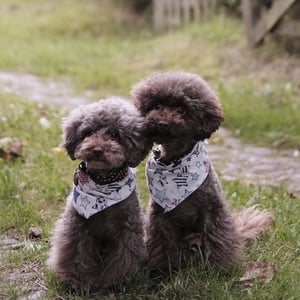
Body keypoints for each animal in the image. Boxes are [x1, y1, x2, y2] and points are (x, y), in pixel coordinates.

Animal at [47, 97, 151, 290]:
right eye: (89, 132)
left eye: (115, 135)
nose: (97, 150)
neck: (103, 184)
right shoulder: (77, 225)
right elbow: (75, 253)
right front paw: (75, 281)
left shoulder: (127, 228)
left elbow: (123, 256)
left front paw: (115, 281)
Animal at [130, 71, 274, 272]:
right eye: (156, 105)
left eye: (181, 110)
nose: (162, 122)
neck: (176, 161)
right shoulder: (159, 215)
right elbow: (162, 243)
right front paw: (165, 269)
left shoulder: (212, 209)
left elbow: (218, 238)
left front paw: (219, 269)